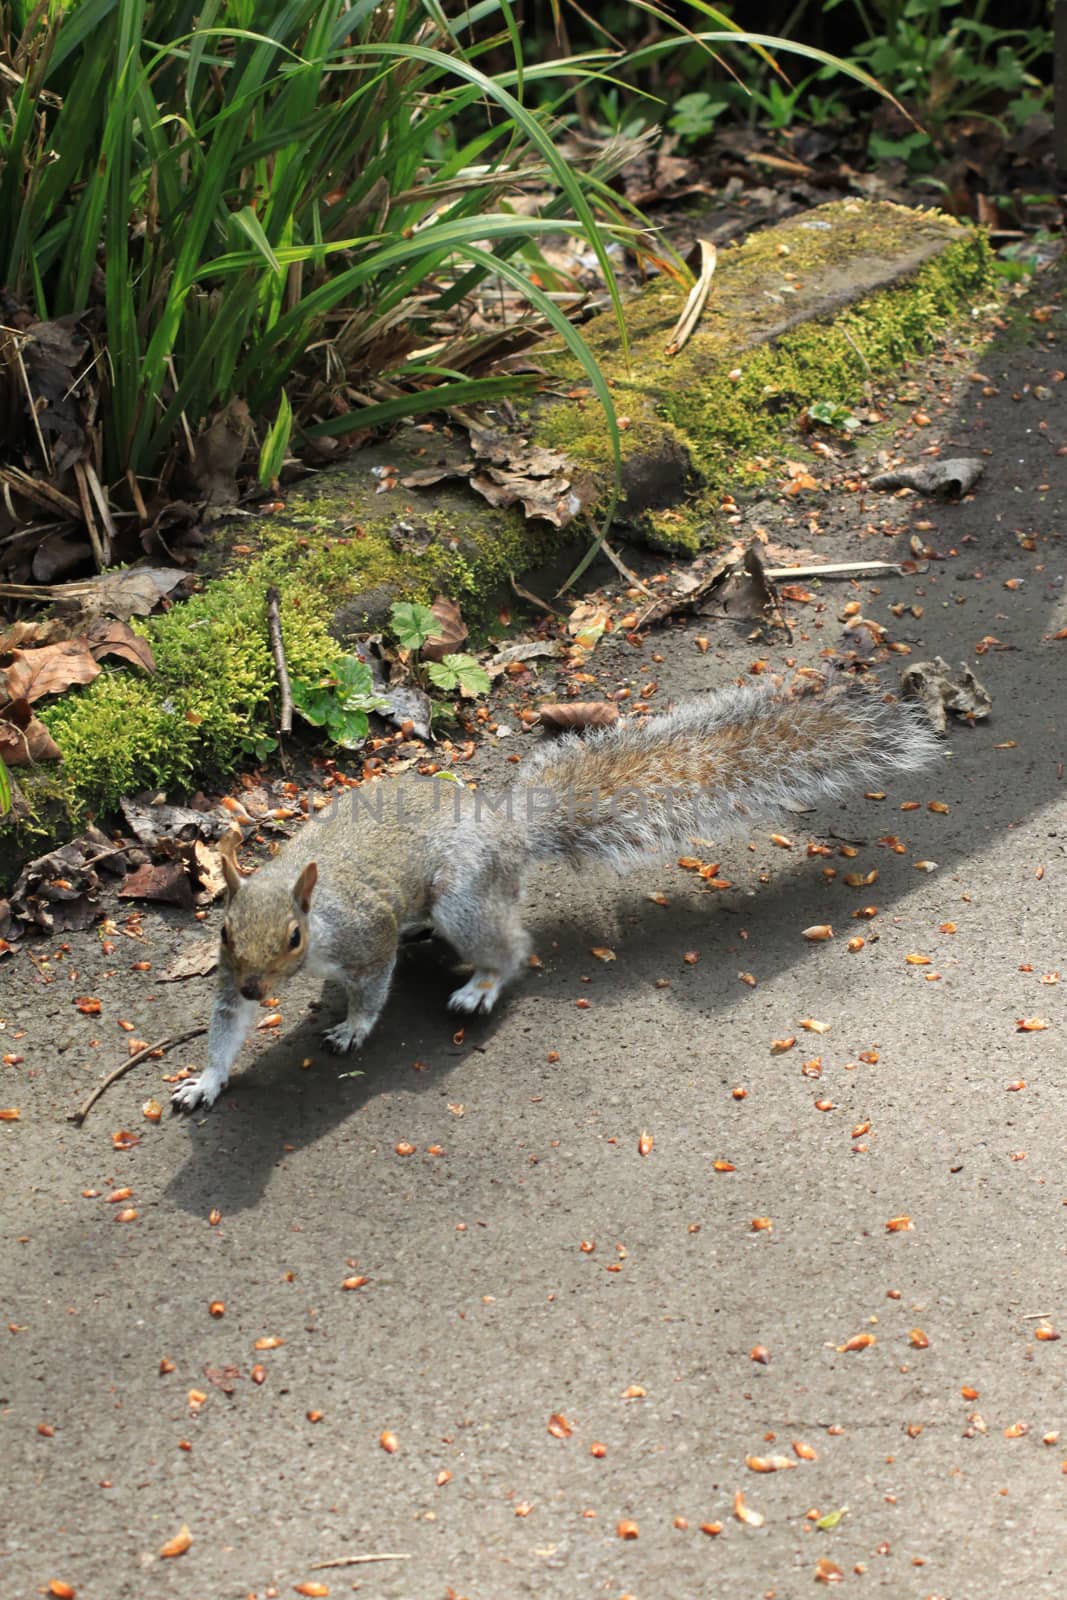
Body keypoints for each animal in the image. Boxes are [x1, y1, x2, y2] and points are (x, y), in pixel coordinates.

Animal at [171, 675, 940, 1113]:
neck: (305, 894)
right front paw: (206, 1080)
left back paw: (481, 984)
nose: (256, 989)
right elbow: (224, 1031)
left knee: (512, 946)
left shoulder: (365, 937)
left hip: (462, 900)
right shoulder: (229, 977)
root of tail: (505, 833)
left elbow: (371, 988)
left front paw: (354, 1028)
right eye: (223, 932)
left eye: (294, 937)